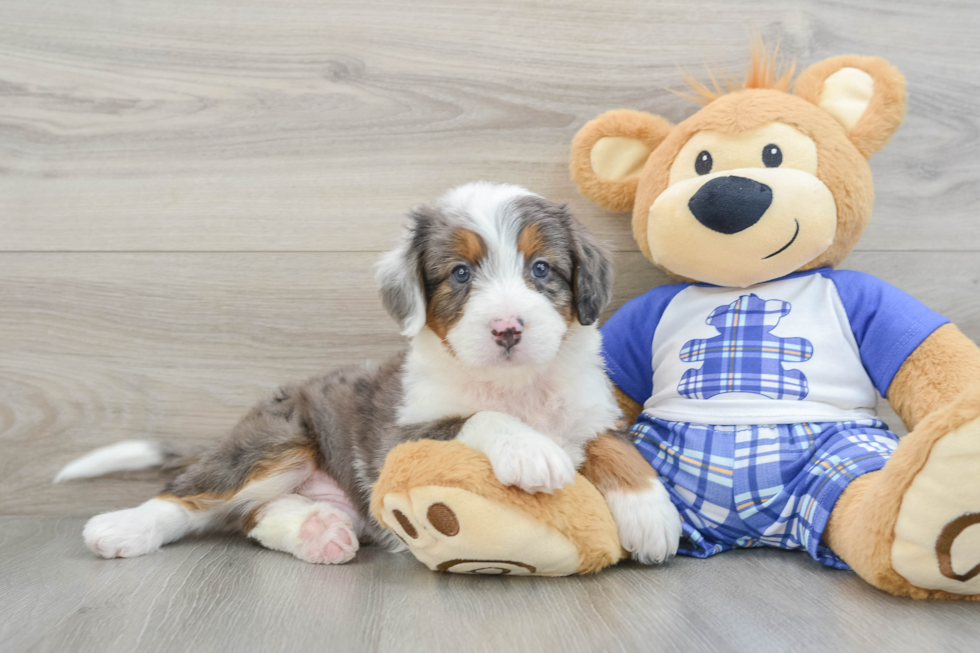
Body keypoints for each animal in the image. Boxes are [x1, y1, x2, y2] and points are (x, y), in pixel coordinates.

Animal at [55, 182, 680, 564]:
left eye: (542, 268)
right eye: (459, 273)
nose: (507, 329)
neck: (516, 384)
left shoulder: (594, 406)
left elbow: (613, 445)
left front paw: (650, 511)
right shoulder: (401, 438)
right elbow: (476, 416)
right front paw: (531, 449)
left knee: (254, 516)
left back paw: (319, 530)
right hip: (280, 440)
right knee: (190, 498)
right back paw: (120, 529)